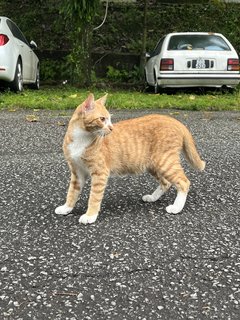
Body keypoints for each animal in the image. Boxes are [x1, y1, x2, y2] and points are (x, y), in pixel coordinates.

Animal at [55, 92, 205, 224]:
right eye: (102, 119)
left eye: (110, 119)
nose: (111, 128)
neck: (81, 138)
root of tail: (173, 120)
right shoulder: (77, 172)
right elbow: (72, 192)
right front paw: (67, 208)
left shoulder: (100, 173)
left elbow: (94, 197)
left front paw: (90, 215)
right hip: (154, 165)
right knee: (166, 183)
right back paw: (152, 197)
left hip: (165, 162)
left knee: (184, 182)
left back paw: (176, 207)